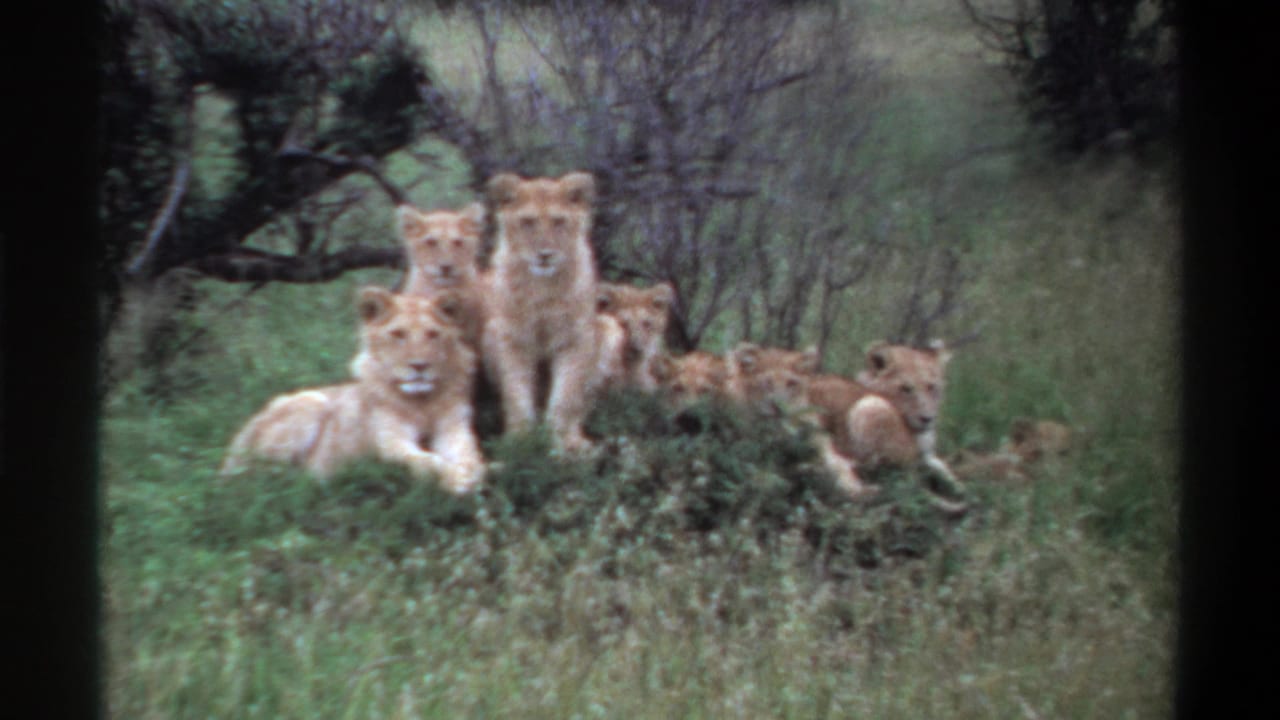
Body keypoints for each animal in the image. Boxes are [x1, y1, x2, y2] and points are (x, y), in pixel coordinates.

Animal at [220, 287, 485, 494]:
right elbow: (426, 460)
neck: (422, 402)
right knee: (259, 479)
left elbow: (469, 455)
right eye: (398, 334)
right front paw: (457, 479)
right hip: (311, 401)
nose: (419, 366)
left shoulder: (454, 428)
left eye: (433, 334)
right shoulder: (390, 442)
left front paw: (475, 471)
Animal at [481, 171, 600, 452]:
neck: (542, 289)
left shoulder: (575, 339)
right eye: (527, 222)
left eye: (559, 221)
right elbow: (517, 395)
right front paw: (520, 442)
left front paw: (560, 443)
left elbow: (565, 398)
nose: (545, 255)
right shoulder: (512, 339)